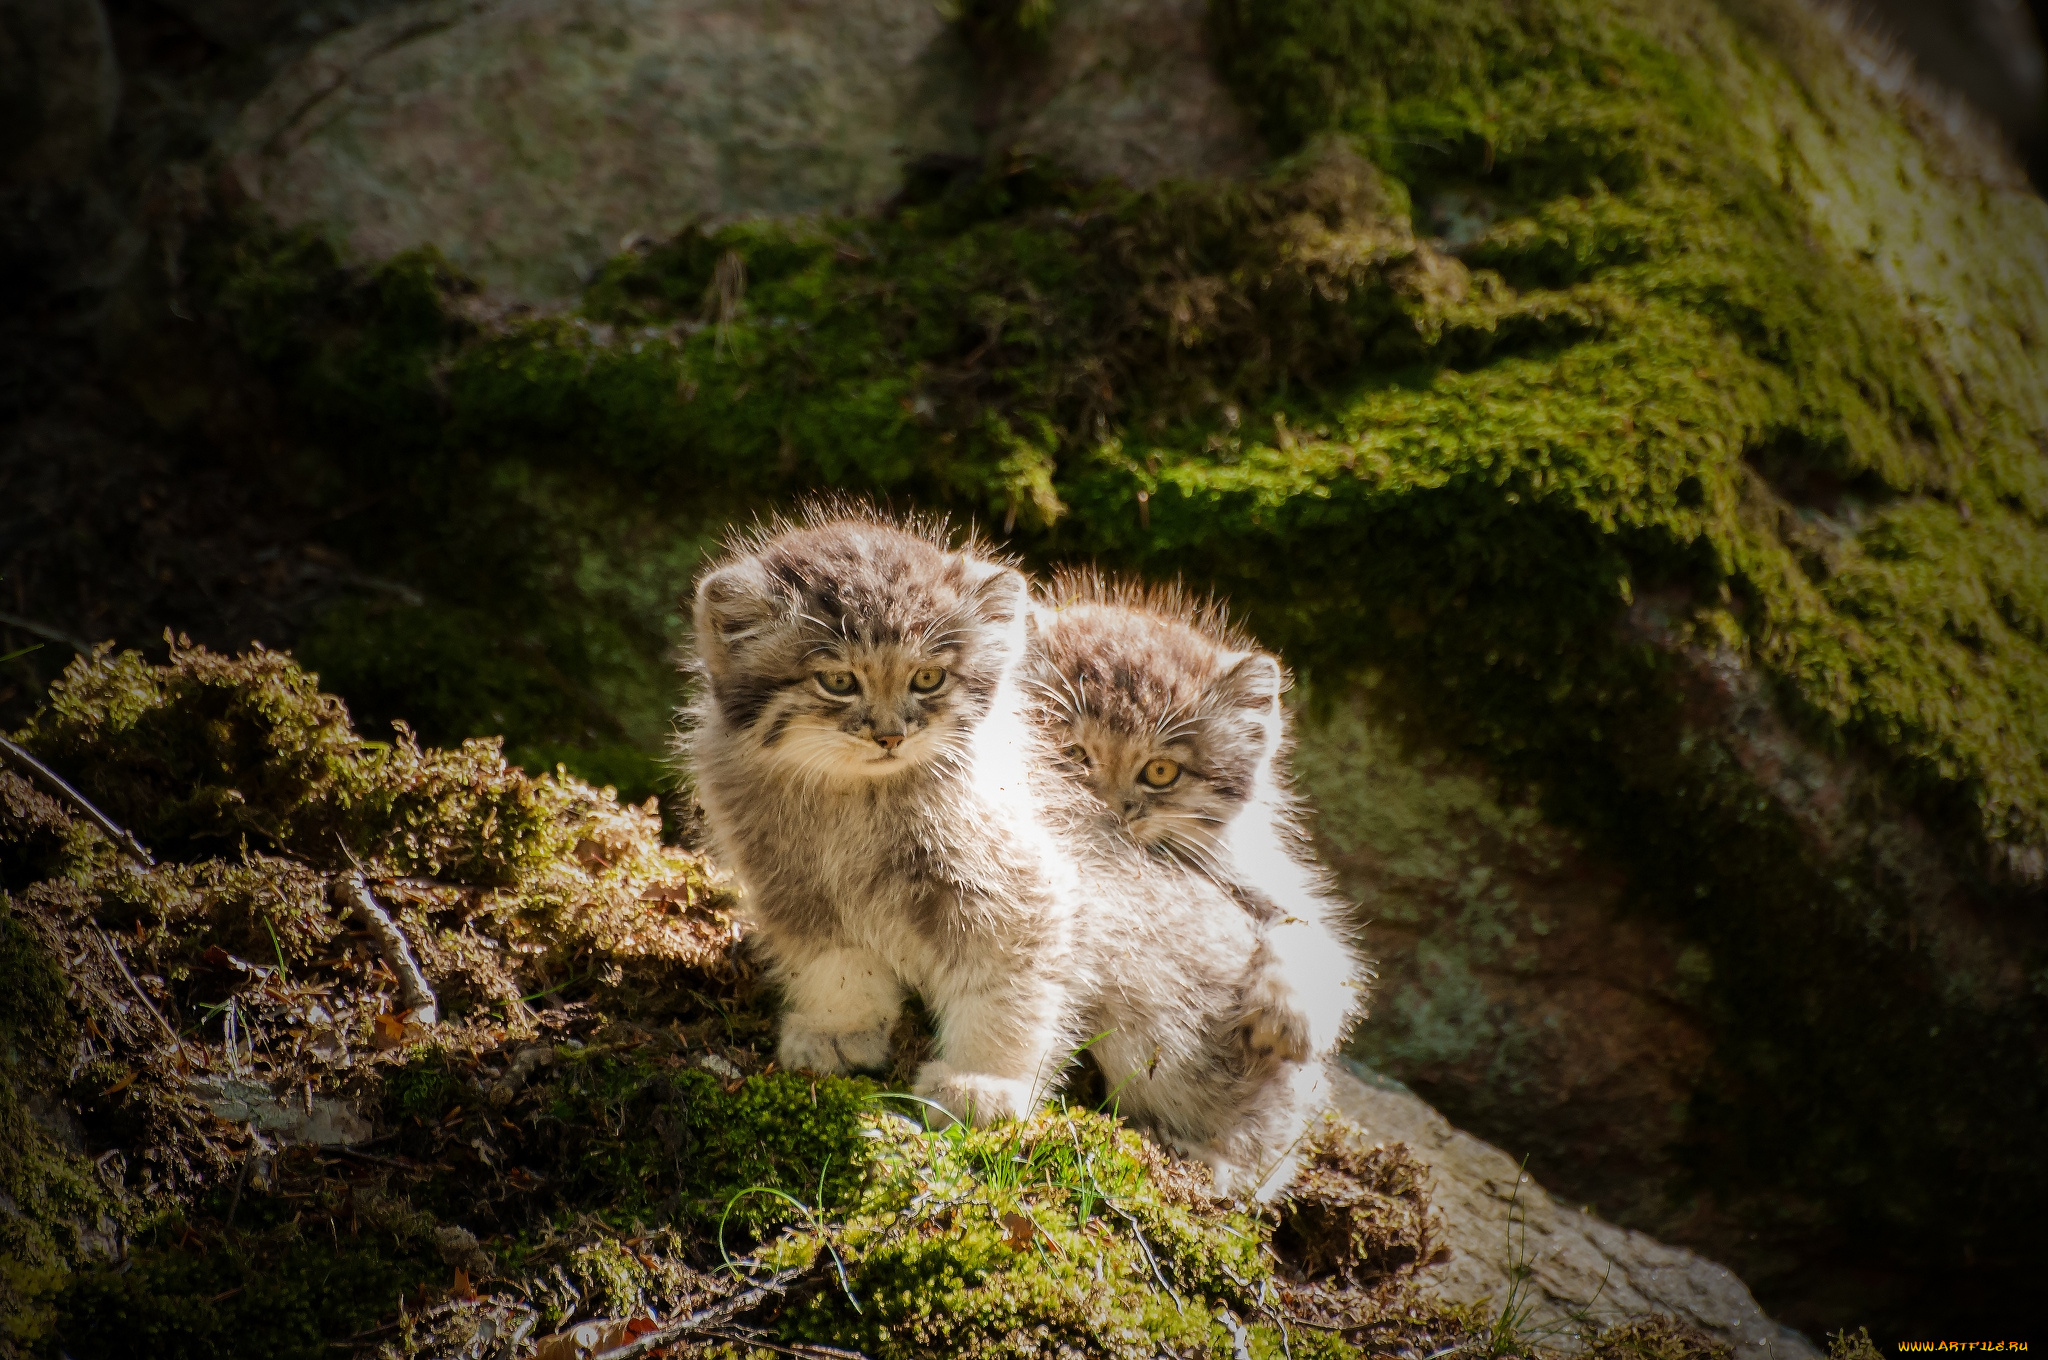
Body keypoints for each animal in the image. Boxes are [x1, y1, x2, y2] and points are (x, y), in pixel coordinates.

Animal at [688, 516, 1318, 1196]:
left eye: (928, 679)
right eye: (837, 681)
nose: (890, 735)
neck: (852, 803)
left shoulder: (1015, 892)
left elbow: (1005, 997)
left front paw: (983, 1084)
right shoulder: (795, 890)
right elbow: (837, 968)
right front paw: (838, 1030)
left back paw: (1223, 1162)